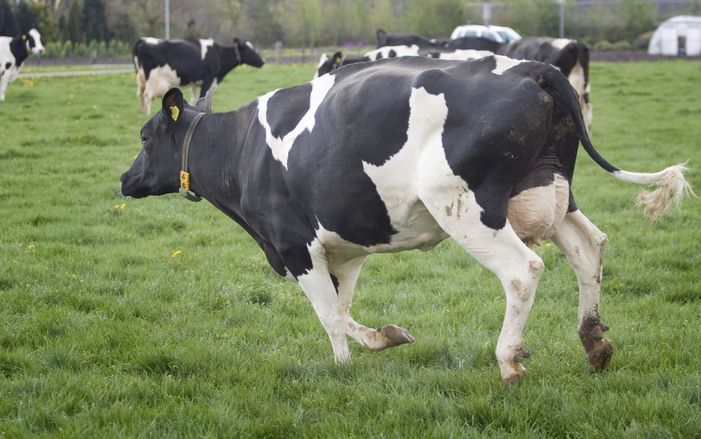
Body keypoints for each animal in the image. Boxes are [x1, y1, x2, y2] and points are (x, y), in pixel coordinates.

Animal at [133, 37, 264, 114]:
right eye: (248, 50)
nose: (262, 61)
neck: (219, 54)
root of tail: (143, 40)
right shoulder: (208, 80)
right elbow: (203, 97)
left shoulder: (195, 83)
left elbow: (195, 99)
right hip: (154, 80)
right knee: (147, 96)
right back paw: (147, 114)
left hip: (141, 79)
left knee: (140, 94)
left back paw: (142, 112)